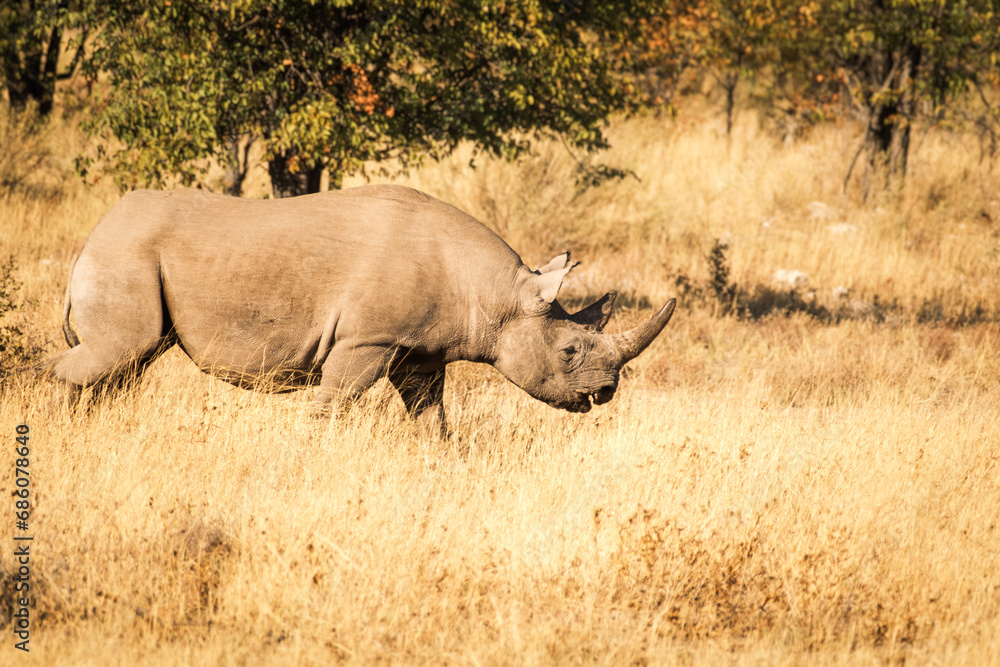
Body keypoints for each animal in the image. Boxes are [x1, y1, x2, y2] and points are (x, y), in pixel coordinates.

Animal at [48, 185, 675, 436]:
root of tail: (93, 233)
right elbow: (332, 406)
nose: (606, 394)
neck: (494, 292)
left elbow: (431, 419)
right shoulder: (366, 340)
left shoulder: (420, 351)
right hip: (127, 253)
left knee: (125, 362)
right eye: (569, 351)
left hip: (132, 256)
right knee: (118, 352)